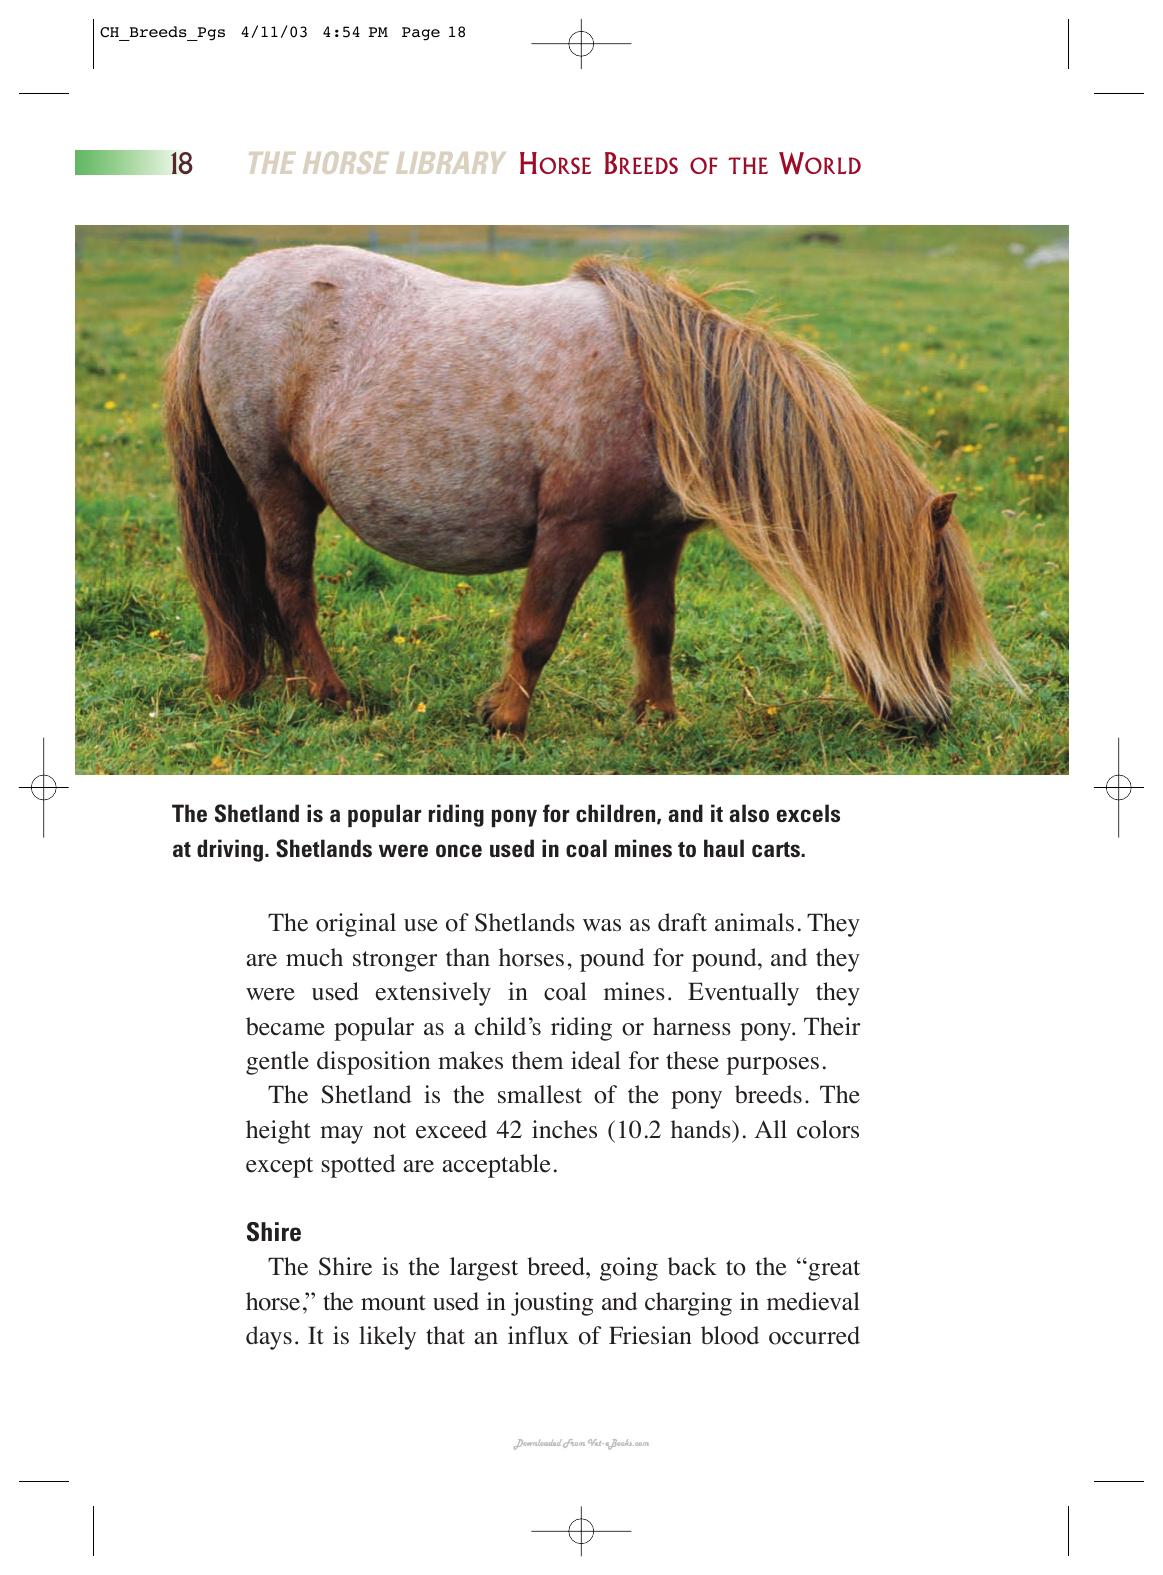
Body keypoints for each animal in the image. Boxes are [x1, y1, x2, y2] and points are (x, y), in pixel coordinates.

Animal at [165, 245, 1013, 735]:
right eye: (933, 603)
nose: (927, 723)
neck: (663, 393)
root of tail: (223, 286)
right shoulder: (568, 534)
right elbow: (537, 631)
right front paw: (505, 719)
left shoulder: (654, 540)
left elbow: (655, 629)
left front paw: (657, 717)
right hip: (278, 488)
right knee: (288, 587)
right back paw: (329, 693)